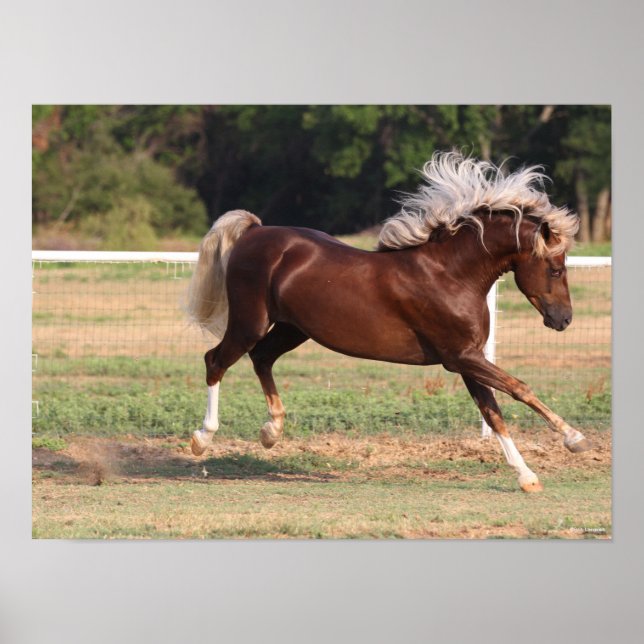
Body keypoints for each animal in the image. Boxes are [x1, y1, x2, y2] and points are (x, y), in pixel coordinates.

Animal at [185, 151, 590, 493]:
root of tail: (255, 231)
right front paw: (575, 439)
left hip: (292, 329)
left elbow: (493, 412)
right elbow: (520, 388)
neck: (450, 275)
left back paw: (271, 431)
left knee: (261, 358)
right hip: (250, 322)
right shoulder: (460, 357)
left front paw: (527, 477)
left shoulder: (468, 359)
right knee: (215, 360)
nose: (564, 319)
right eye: (556, 269)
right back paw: (202, 439)